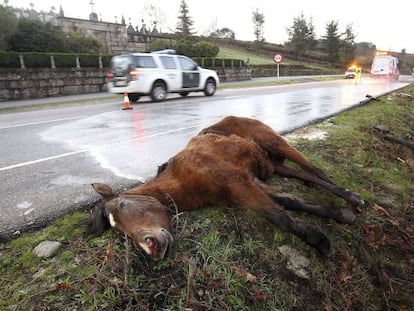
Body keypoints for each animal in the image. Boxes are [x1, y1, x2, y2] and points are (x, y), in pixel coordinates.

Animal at [91, 116, 362, 260]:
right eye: (120, 232)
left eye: (124, 204)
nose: (152, 247)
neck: (183, 177)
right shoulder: (250, 182)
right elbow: (292, 201)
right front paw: (338, 216)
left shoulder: (237, 184)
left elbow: (281, 218)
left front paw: (320, 242)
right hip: (274, 165)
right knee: (307, 174)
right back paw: (348, 203)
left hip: (277, 144)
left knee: (314, 169)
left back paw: (354, 198)